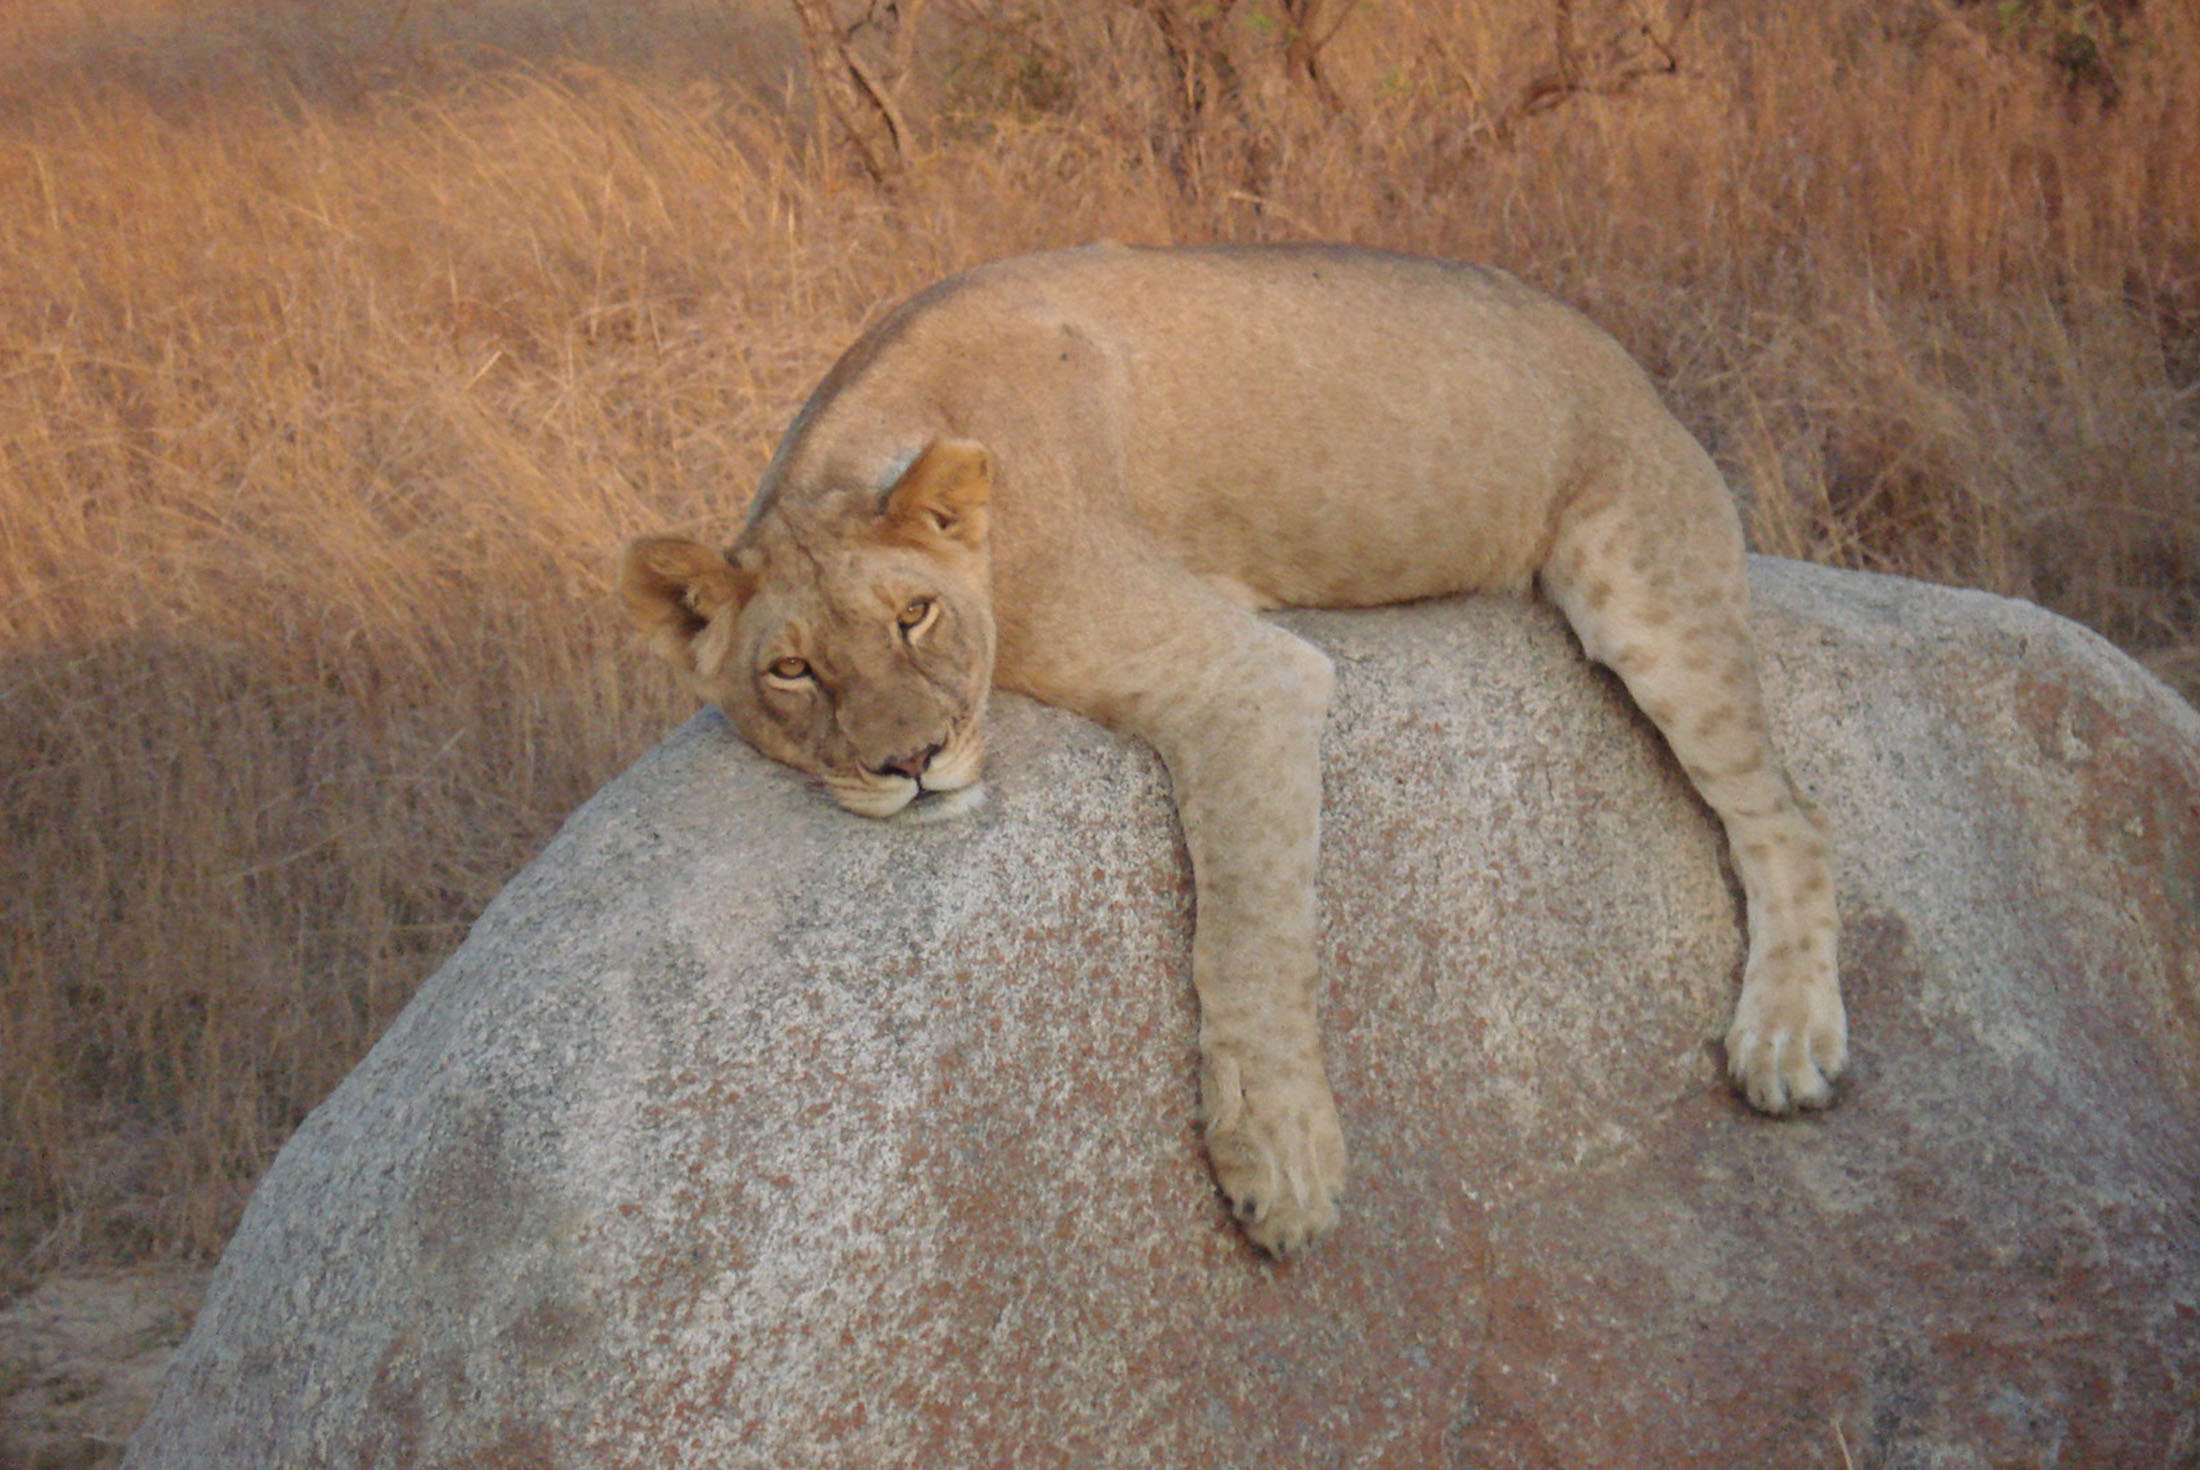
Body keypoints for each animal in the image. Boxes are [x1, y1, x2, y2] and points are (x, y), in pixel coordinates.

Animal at [621, 243, 1846, 1256]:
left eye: (913, 616)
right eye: (792, 671)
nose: (909, 762)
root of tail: (1633, 367)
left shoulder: (1248, 674)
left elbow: (1247, 934)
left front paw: (1281, 1163)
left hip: (1642, 587)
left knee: (1789, 816)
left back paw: (1786, 1043)